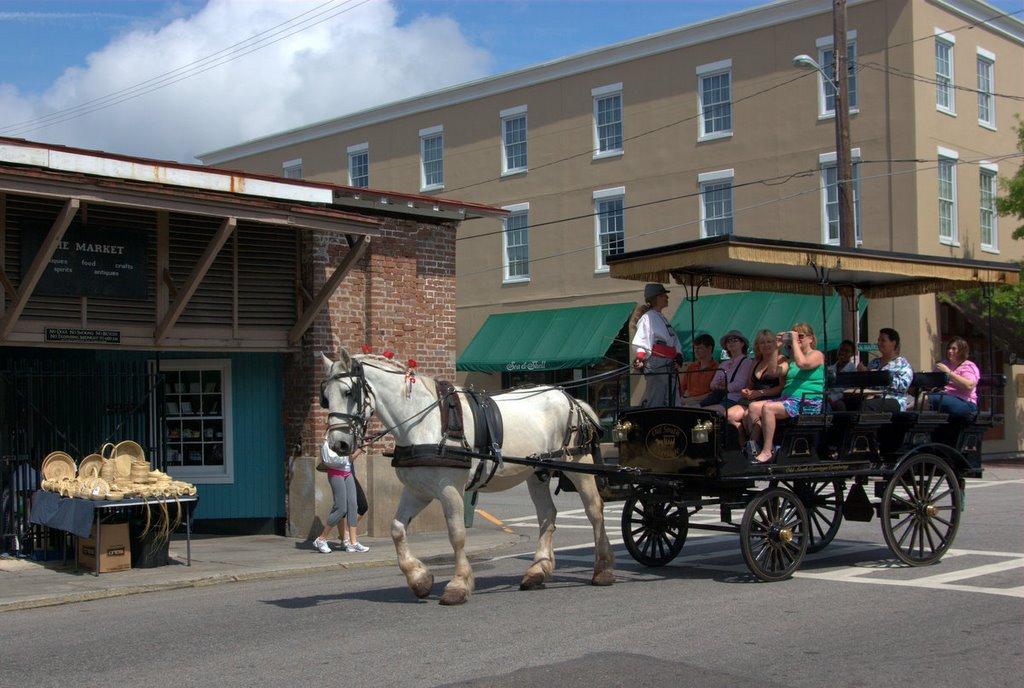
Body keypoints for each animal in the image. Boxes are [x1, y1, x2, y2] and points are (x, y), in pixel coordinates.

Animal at [319, 352, 610, 606]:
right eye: (325, 397)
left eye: (348, 392)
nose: (338, 444)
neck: (422, 422)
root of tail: (570, 398)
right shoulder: (417, 490)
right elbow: (397, 529)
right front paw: (419, 579)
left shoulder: (450, 489)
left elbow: (457, 535)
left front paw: (458, 585)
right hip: (538, 471)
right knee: (547, 515)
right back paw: (537, 571)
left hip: (578, 464)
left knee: (595, 511)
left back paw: (603, 569)